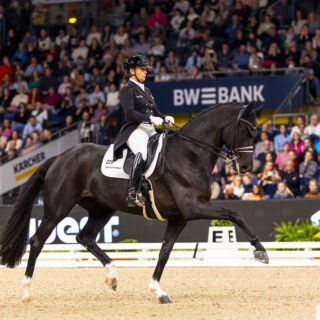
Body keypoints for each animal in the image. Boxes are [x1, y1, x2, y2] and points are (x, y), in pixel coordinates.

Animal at [1, 101, 268, 304]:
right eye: (247, 130)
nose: (246, 168)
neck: (190, 154)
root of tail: (59, 157)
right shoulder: (193, 208)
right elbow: (235, 214)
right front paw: (260, 251)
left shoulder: (178, 218)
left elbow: (164, 252)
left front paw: (158, 291)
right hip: (58, 208)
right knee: (37, 241)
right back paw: (26, 291)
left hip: (102, 209)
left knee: (84, 237)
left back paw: (112, 277)